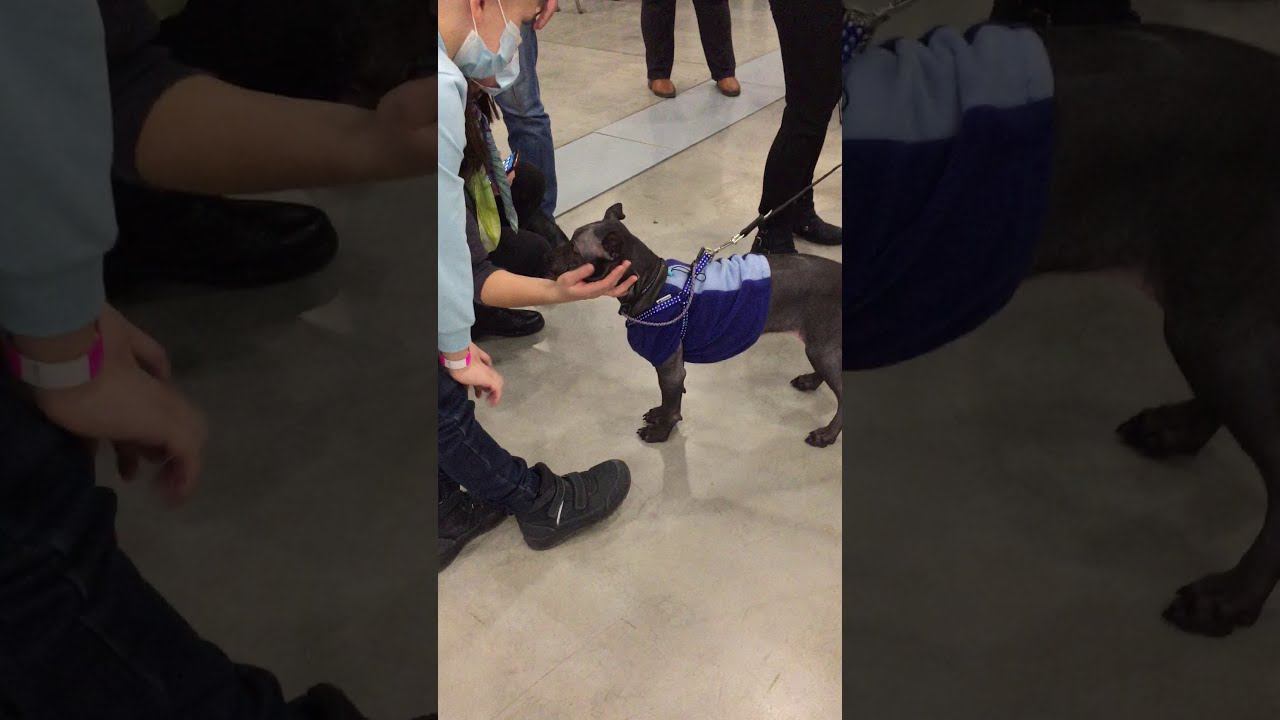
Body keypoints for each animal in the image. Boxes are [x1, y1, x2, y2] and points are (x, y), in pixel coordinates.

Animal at [548, 204, 843, 448]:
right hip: (819, 346)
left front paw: (660, 432)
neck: (651, 285)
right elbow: (667, 400)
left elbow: (672, 405)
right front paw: (658, 414)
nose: (548, 255)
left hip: (823, 347)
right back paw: (810, 381)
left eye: (575, 250)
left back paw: (826, 435)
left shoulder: (669, 367)